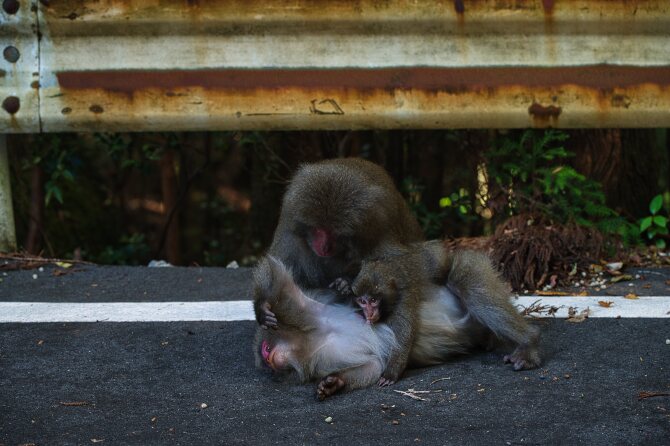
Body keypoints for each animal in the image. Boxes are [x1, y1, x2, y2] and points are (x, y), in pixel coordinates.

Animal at [255, 157, 422, 328]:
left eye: (336, 234)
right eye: (318, 230)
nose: (324, 247)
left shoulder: (378, 228)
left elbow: (398, 263)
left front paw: (347, 282)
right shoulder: (290, 225)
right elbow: (278, 264)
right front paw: (263, 305)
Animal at [354, 242, 544, 386]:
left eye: (373, 301)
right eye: (362, 301)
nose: (368, 313)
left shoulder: (404, 297)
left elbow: (403, 338)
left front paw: (391, 373)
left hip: (471, 265)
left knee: (467, 286)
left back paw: (529, 342)